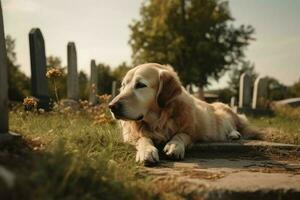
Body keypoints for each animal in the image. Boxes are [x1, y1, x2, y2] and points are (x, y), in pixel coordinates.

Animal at [108, 63, 258, 163]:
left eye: (140, 85)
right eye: (123, 86)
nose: (111, 106)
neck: (159, 120)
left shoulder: (192, 132)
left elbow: (181, 135)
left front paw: (174, 146)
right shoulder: (130, 135)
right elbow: (143, 138)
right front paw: (146, 150)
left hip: (223, 113)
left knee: (233, 126)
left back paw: (234, 134)